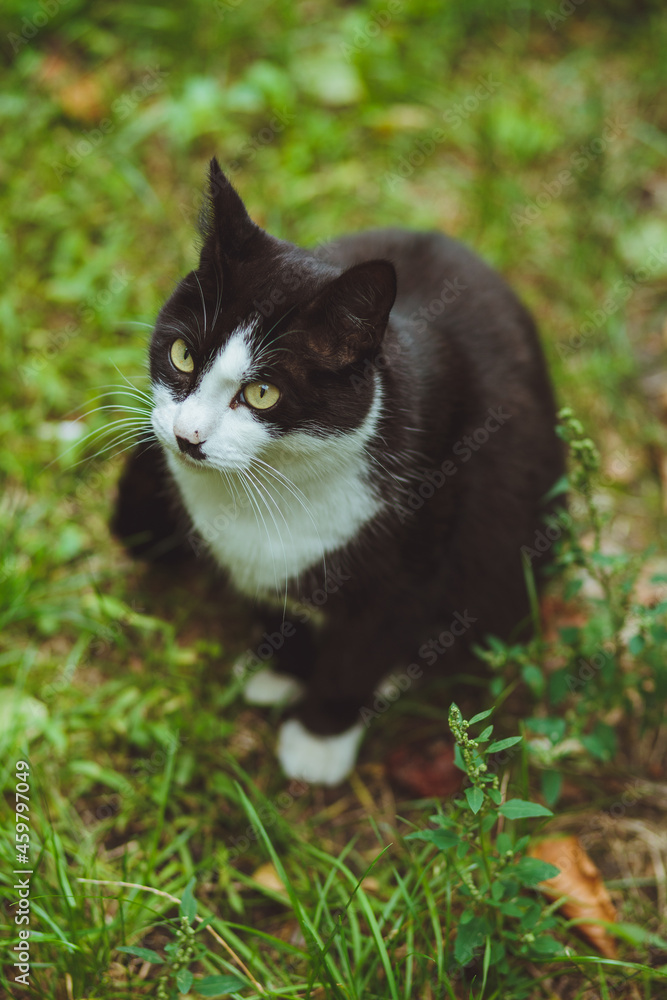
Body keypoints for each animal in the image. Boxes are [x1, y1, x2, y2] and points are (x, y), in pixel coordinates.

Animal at [112, 156, 568, 784]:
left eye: (262, 392)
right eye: (182, 355)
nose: (187, 436)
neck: (271, 481)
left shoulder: (419, 547)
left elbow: (362, 648)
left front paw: (319, 739)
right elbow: (279, 605)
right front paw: (285, 668)